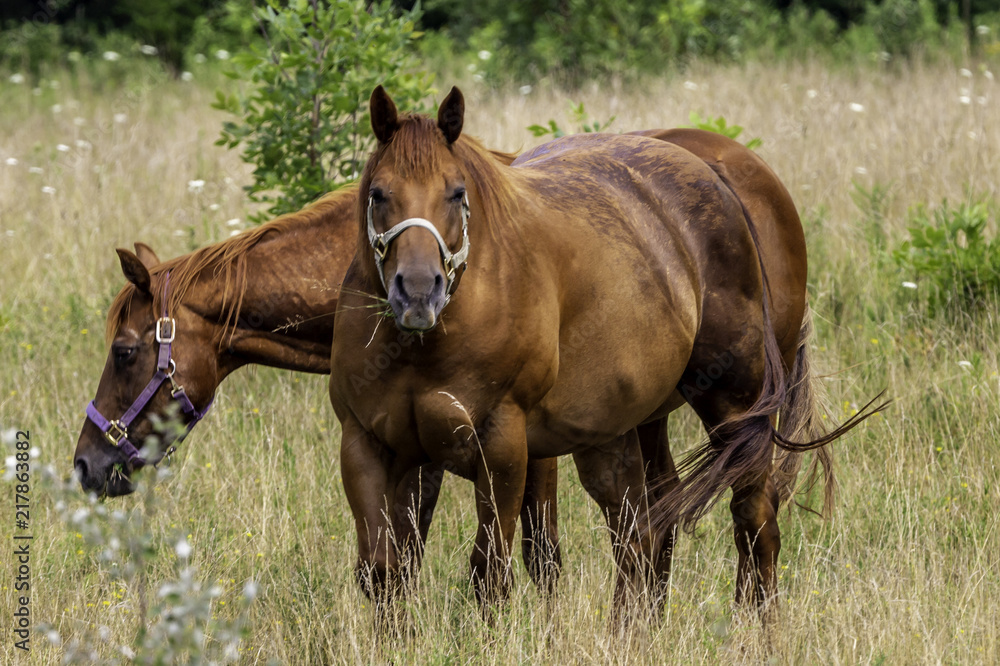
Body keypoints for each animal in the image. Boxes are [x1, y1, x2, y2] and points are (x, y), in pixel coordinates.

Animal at [328, 85, 876, 620]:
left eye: (456, 192)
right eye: (378, 194)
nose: (418, 292)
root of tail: (717, 179)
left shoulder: (502, 445)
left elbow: (490, 574)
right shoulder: (370, 444)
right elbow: (384, 572)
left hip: (734, 404)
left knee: (752, 516)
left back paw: (752, 629)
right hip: (630, 423)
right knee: (646, 522)